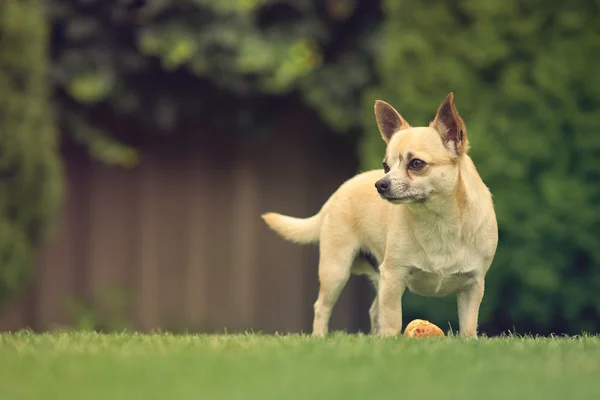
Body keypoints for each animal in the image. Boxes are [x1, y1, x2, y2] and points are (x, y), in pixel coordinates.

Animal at [262, 94, 496, 338]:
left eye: (416, 164)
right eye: (386, 166)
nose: (380, 184)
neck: (438, 222)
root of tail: (340, 190)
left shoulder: (473, 286)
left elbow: (468, 325)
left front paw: (468, 342)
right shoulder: (393, 276)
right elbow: (393, 319)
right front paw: (391, 340)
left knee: (375, 310)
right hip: (336, 271)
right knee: (323, 307)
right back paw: (319, 337)